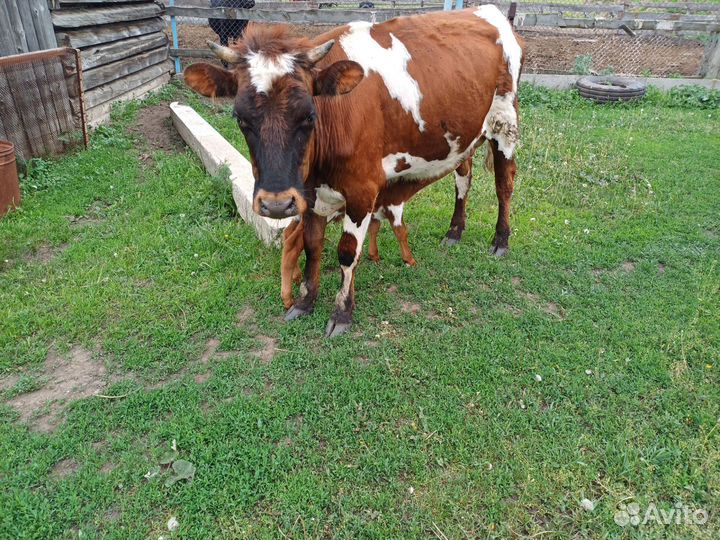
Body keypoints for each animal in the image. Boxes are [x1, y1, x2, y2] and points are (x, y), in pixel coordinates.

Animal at [184, 6, 524, 336]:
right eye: (240, 118)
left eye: (309, 115)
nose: (276, 204)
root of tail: (493, 13)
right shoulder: (310, 195)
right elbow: (312, 246)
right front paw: (304, 302)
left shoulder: (362, 190)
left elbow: (347, 252)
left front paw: (342, 313)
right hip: (464, 136)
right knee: (463, 178)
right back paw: (454, 231)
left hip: (505, 123)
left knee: (504, 184)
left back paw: (501, 240)